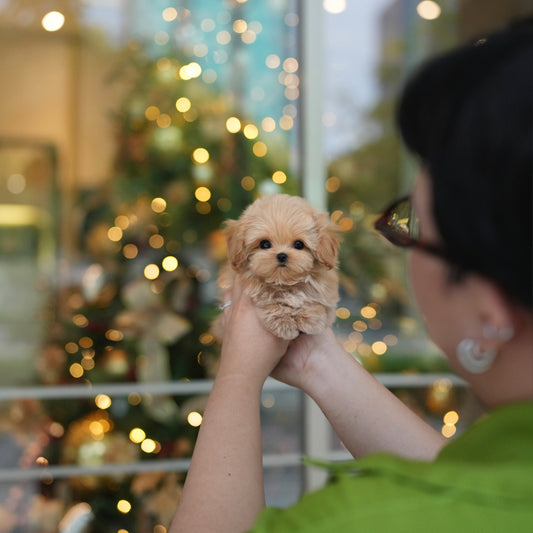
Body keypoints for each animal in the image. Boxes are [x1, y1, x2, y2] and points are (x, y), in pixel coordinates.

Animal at [211, 193, 338, 338]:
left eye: (299, 244)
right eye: (265, 244)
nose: (282, 255)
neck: (284, 282)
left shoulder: (328, 293)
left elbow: (316, 299)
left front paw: (310, 319)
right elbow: (269, 298)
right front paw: (284, 323)